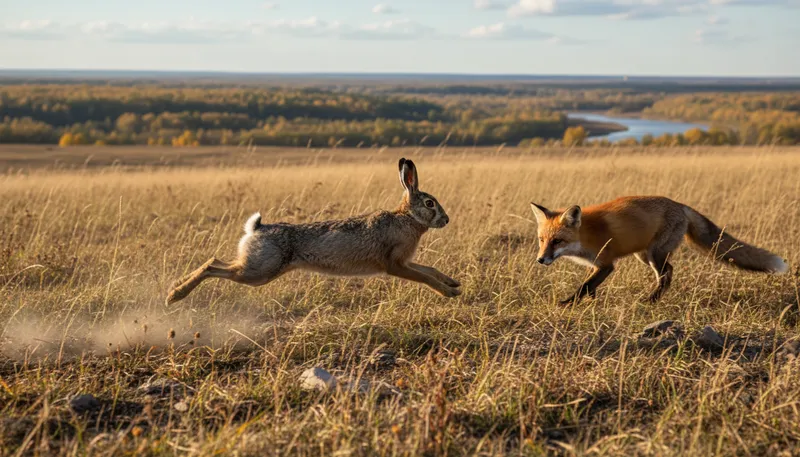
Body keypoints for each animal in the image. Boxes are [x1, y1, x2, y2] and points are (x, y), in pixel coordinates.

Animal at [166, 158, 461, 304]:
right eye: (430, 203)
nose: (446, 220)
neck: (407, 218)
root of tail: (256, 229)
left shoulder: (406, 262)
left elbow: (430, 270)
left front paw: (453, 283)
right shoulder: (395, 264)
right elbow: (424, 277)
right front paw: (449, 293)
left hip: (256, 267)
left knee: (215, 261)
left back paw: (174, 287)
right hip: (259, 271)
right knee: (212, 267)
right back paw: (174, 296)